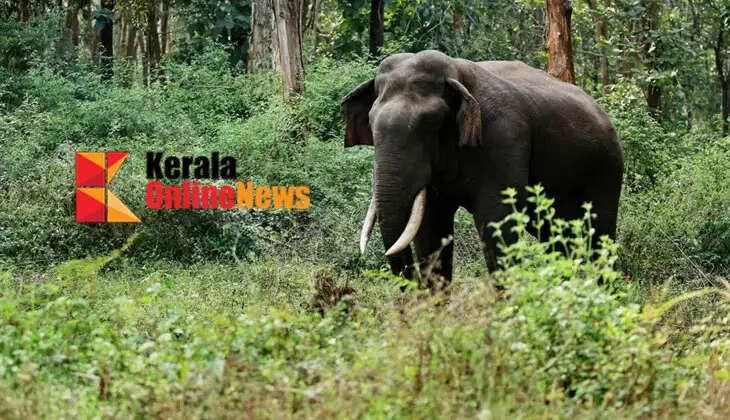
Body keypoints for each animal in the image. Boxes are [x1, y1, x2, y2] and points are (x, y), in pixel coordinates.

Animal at [341, 50, 623, 283]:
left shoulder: (504, 140)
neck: (456, 72)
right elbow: (430, 226)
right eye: (371, 122)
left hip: (607, 171)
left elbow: (496, 221)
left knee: (599, 236)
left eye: (429, 123)